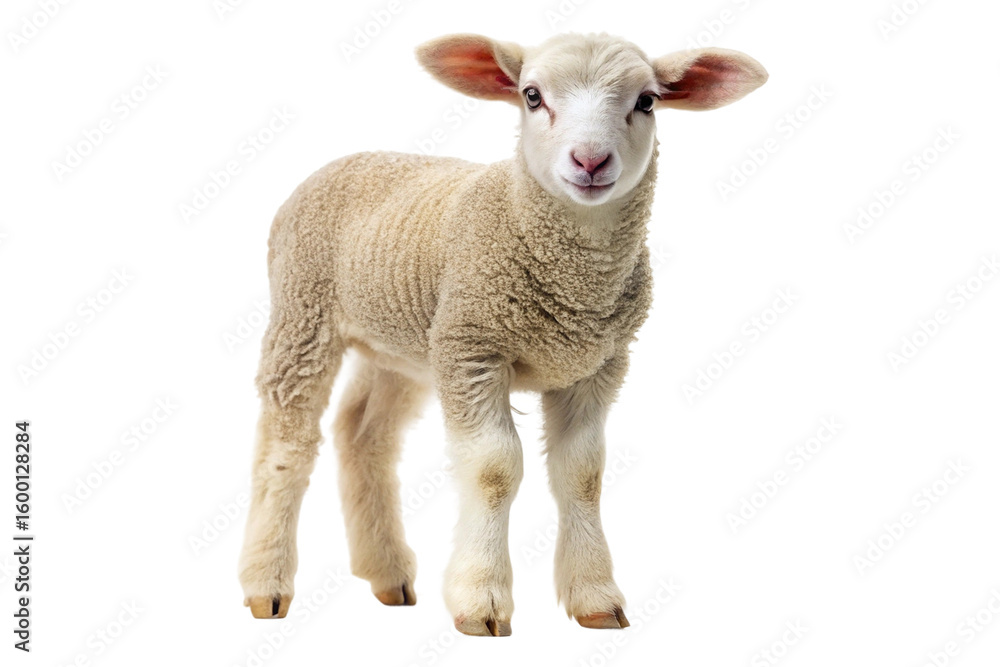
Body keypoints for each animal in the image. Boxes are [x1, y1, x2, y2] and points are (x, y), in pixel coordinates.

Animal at [238, 31, 767, 635]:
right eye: (532, 96)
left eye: (647, 101)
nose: (590, 160)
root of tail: (348, 158)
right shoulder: (474, 348)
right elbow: (493, 468)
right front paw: (481, 599)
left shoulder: (597, 364)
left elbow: (582, 472)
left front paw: (595, 597)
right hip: (304, 314)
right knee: (287, 444)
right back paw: (267, 584)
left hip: (406, 345)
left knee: (363, 435)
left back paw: (388, 574)